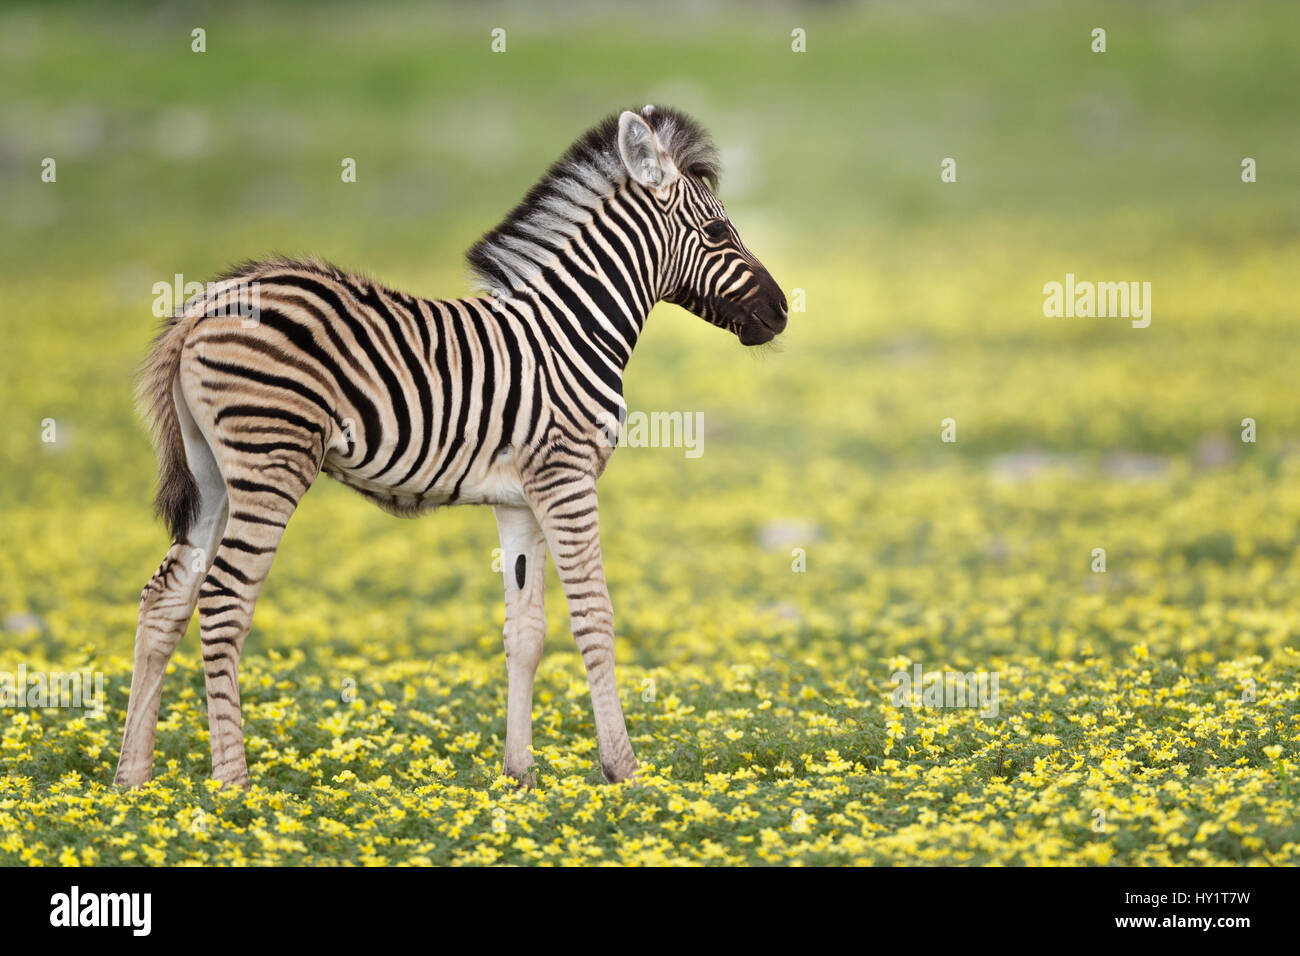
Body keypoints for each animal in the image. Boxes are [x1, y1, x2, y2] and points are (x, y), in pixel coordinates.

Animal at [119, 104, 780, 790]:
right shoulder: (567, 477)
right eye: (716, 232)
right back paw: (234, 784)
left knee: (166, 596)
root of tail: (205, 304)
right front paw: (622, 768)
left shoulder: (520, 500)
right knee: (223, 601)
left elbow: (526, 631)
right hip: (271, 460)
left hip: (212, 473)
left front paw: (519, 775)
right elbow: (594, 616)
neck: (572, 330)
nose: (783, 312)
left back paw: (132, 778)